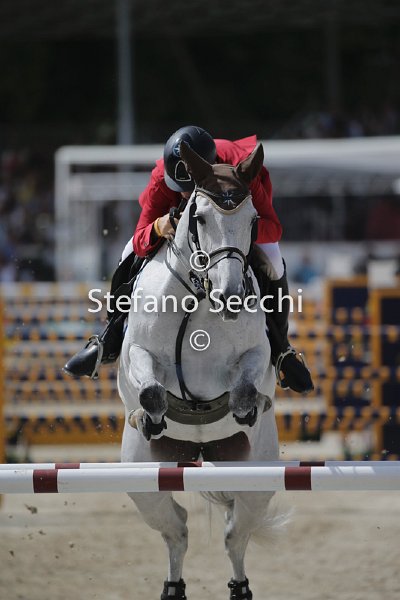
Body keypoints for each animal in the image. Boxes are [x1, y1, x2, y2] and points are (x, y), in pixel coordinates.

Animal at [118, 141, 280, 600]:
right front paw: (151, 418)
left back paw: (240, 588)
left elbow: (245, 387)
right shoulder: (137, 355)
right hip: (143, 481)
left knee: (234, 534)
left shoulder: (257, 356)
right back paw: (173, 588)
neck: (201, 296)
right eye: (200, 217)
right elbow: (151, 390)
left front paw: (245, 410)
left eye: (253, 221)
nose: (231, 298)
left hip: (256, 477)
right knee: (178, 530)